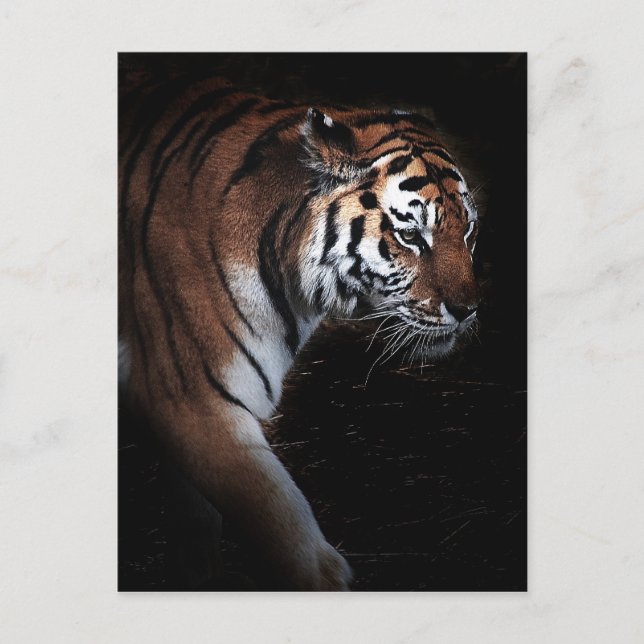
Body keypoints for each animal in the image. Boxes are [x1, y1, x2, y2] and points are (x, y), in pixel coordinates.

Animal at [119, 74, 480, 591]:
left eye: (468, 230)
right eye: (411, 235)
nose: (468, 310)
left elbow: (198, 533)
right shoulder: (191, 401)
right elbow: (290, 537)